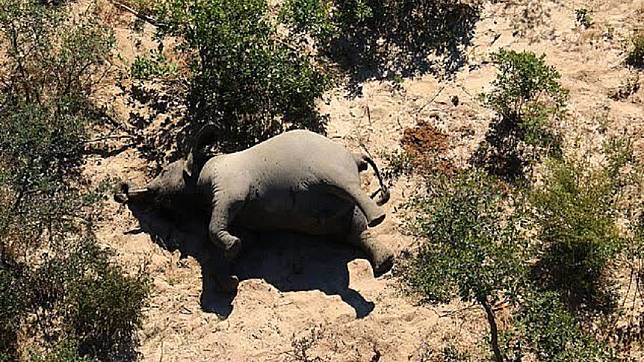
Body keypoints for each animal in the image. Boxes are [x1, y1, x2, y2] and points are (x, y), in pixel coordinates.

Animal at [116, 126, 394, 292]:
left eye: (164, 171)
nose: (122, 190)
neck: (202, 167)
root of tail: (355, 157)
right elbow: (246, 240)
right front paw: (230, 275)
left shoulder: (229, 185)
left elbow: (215, 224)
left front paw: (231, 250)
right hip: (338, 212)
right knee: (355, 232)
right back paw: (385, 263)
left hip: (330, 167)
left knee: (347, 189)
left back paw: (378, 219)